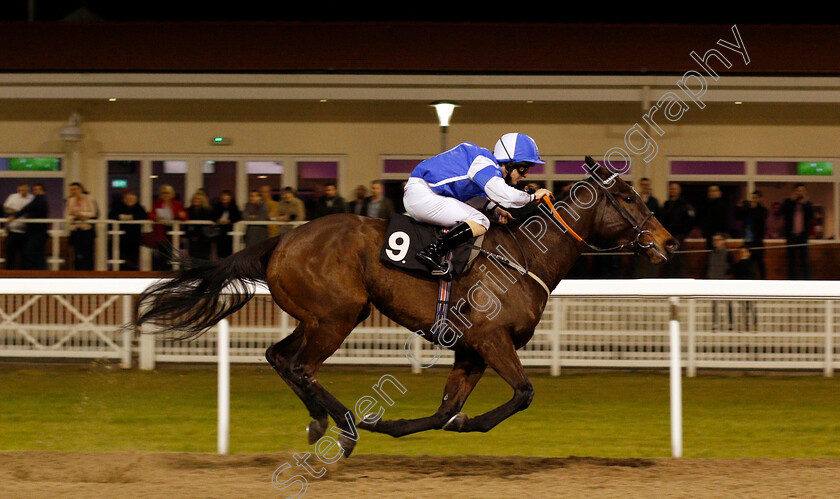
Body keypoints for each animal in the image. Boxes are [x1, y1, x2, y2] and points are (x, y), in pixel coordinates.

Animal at [136, 156, 676, 458]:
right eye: (628, 197)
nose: (668, 241)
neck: (526, 255)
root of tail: (283, 239)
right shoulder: (491, 340)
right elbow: (523, 394)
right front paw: (455, 423)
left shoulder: (471, 351)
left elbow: (444, 412)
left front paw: (410, 425)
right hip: (337, 315)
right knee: (301, 365)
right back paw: (348, 427)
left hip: (322, 315)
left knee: (280, 358)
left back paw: (321, 421)